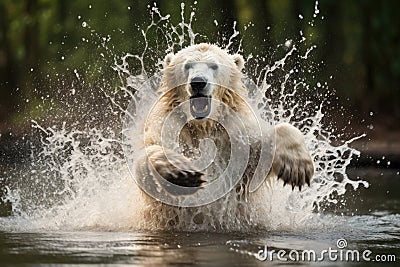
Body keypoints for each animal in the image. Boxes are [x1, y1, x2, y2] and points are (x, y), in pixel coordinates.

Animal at [133, 44, 314, 224]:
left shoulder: (234, 141)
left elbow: (260, 153)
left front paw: (297, 167)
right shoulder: (169, 128)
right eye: (187, 65)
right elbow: (149, 153)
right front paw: (180, 173)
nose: (198, 82)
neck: (202, 127)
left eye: (214, 66)